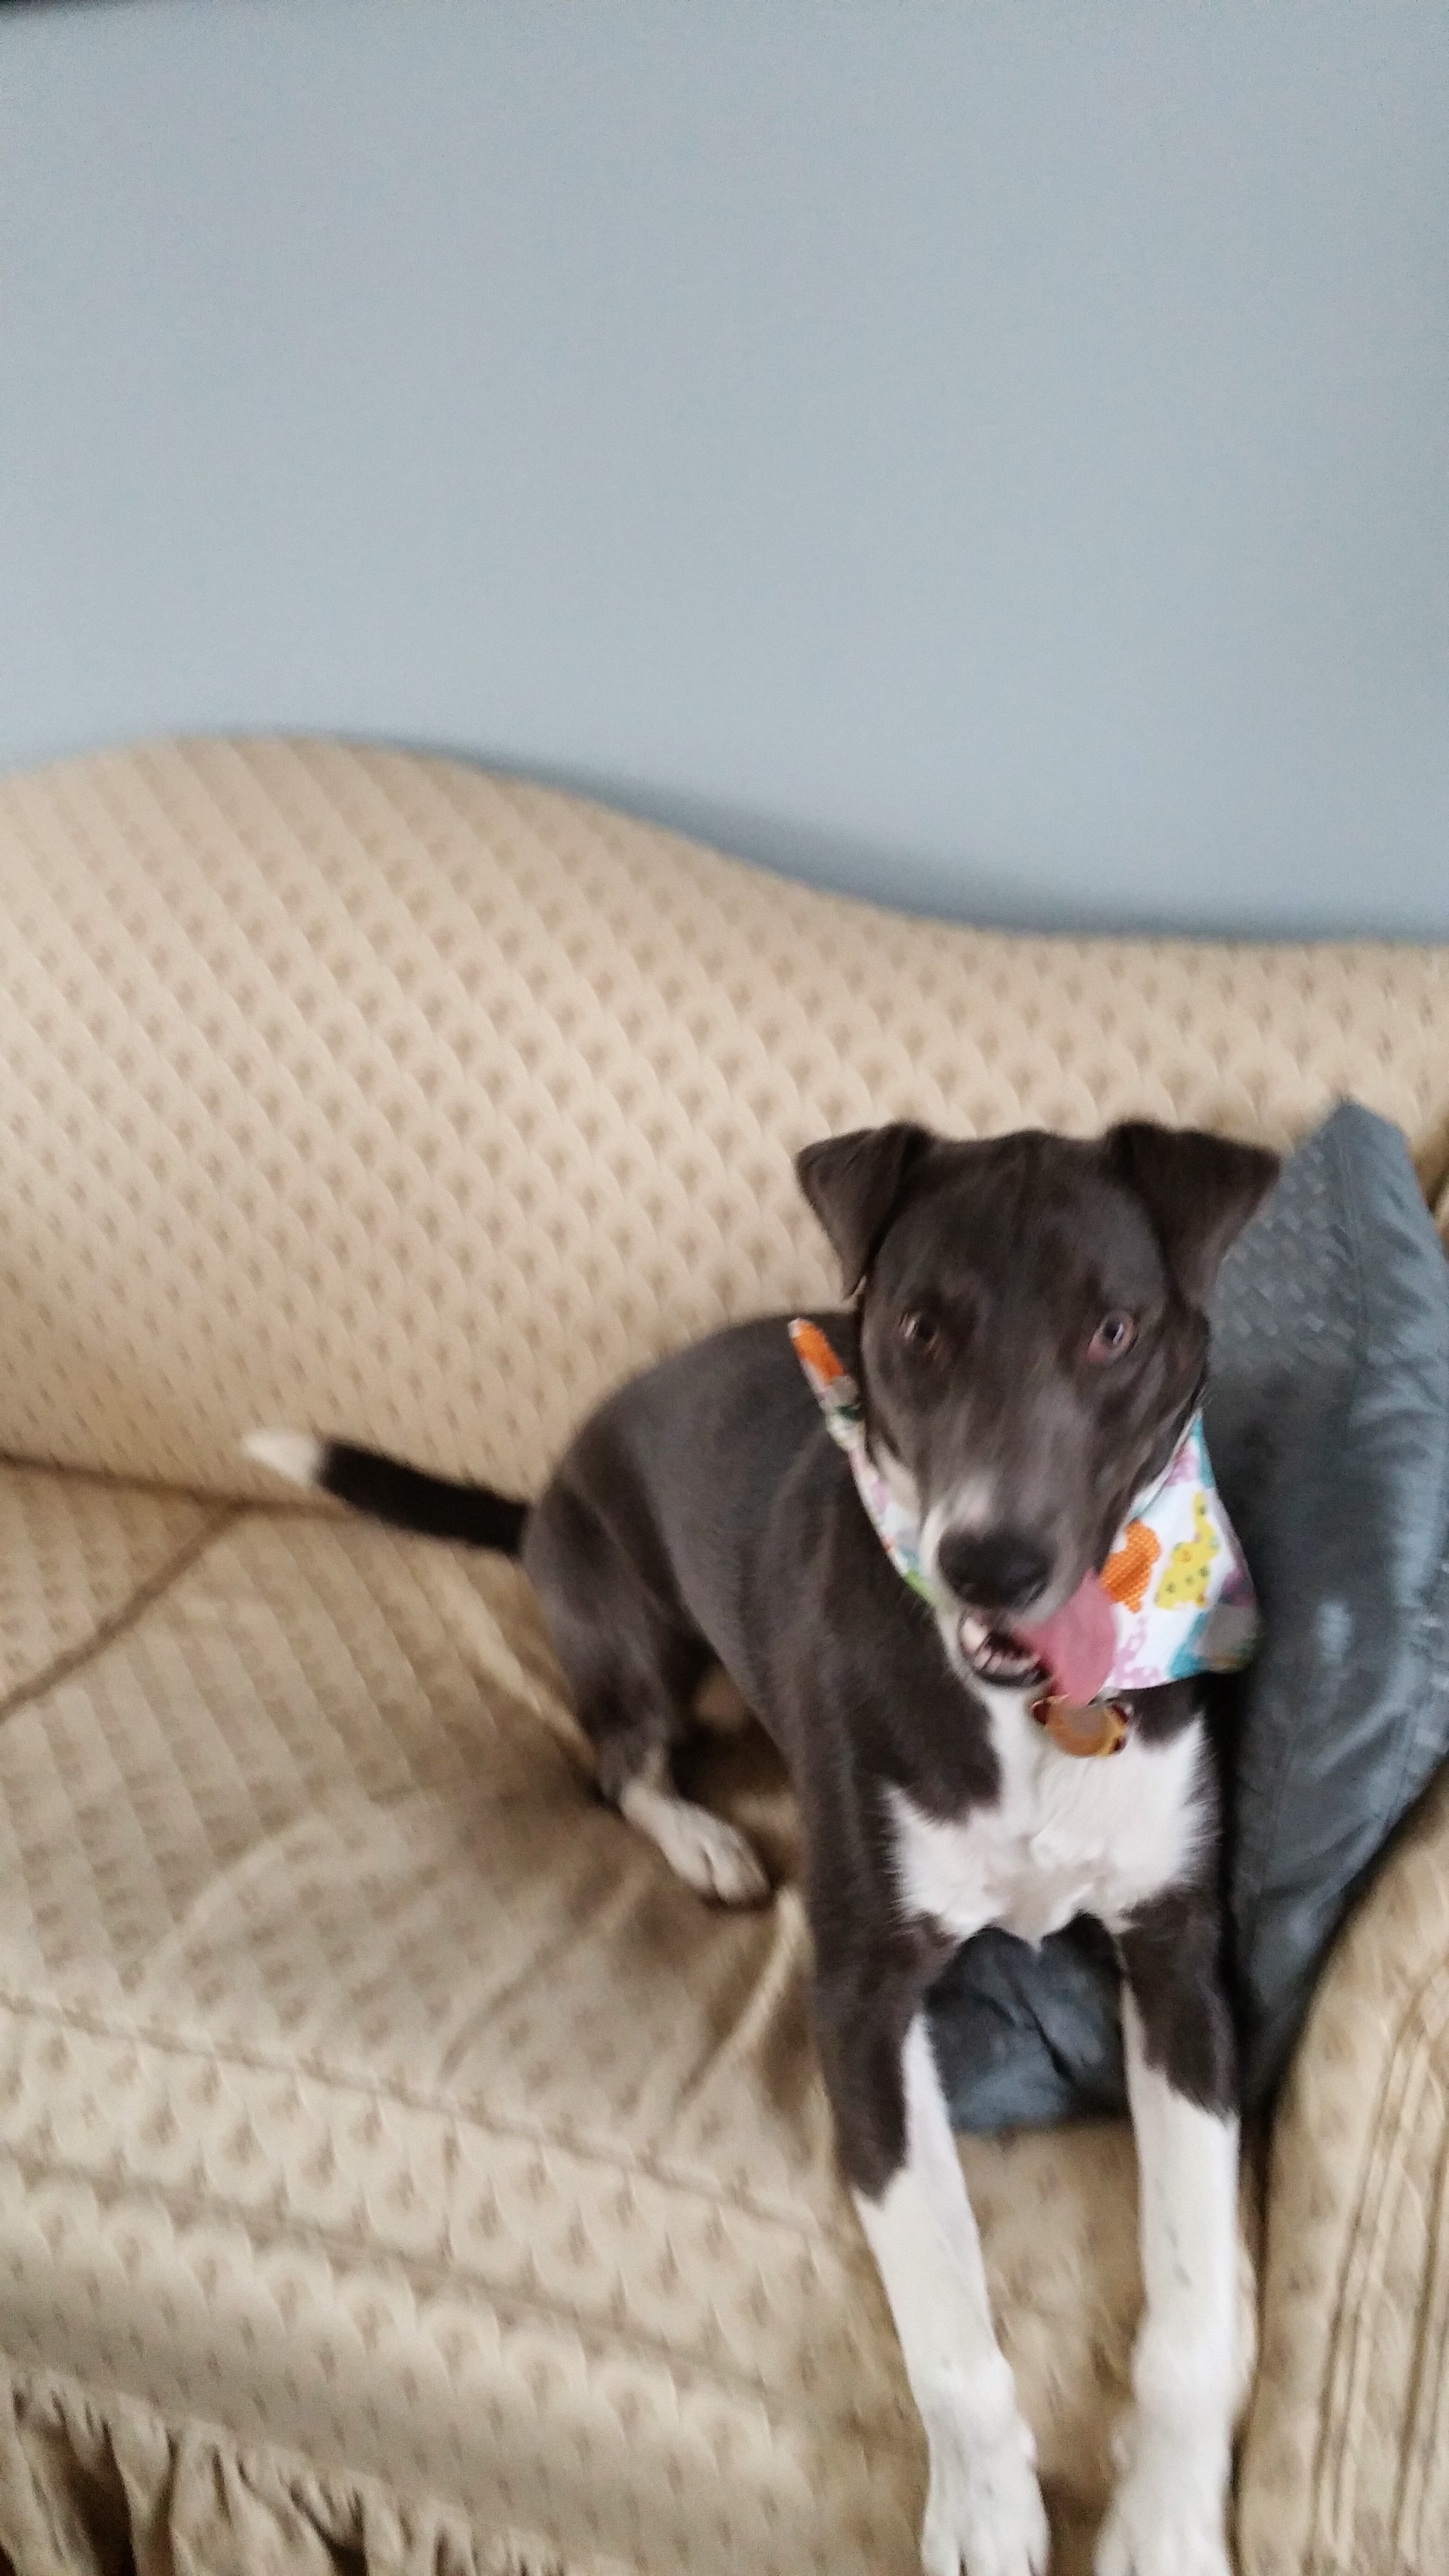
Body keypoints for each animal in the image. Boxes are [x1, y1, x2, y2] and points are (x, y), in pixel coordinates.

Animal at [246, 1117, 1277, 2576]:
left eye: (1114, 1331)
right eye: (920, 1328)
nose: (992, 1561)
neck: (1024, 1705)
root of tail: (540, 1495)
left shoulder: (1181, 1959)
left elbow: (1192, 2300)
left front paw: (1167, 2516)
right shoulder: (858, 2003)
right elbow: (947, 2301)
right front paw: (982, 2508)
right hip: (631, 1621)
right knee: (619, 1760)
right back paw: (701, 1841)